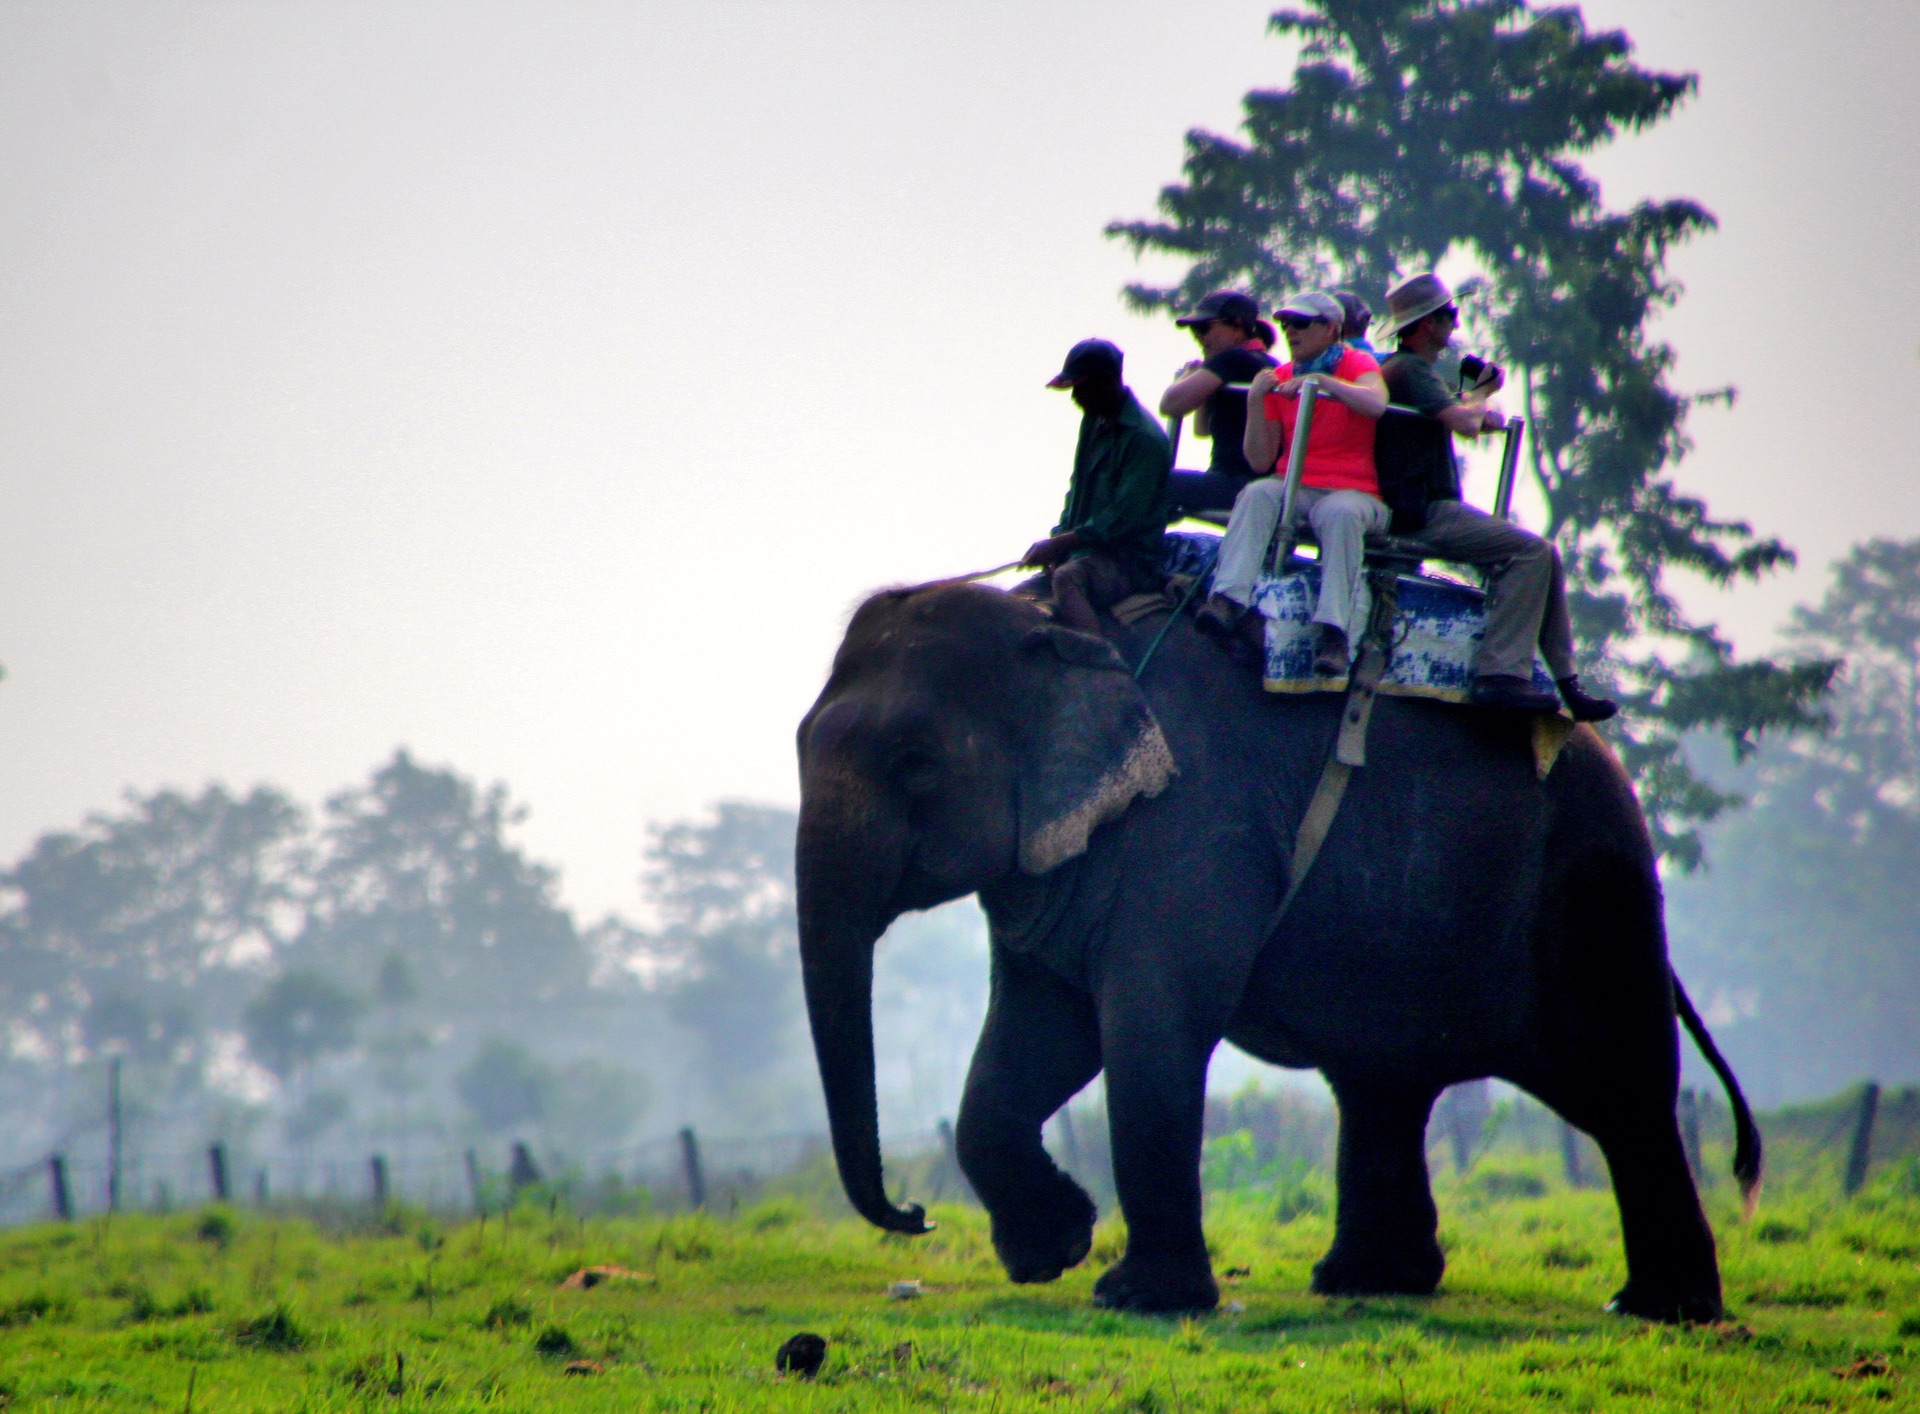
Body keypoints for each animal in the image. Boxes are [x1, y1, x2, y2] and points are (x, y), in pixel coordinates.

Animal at [791, 576, 1758, 1321]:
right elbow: (1035, 1037)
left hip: (1591, 888)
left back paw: (1662, 1309)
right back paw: (1370, 1286)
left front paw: (1135, 1299)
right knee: (1382, 1085)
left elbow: (1150, 1031)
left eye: (916, 765)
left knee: (1621, 1090)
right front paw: (1052, 1253)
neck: (1048, 620)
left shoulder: (1190, 828)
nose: (916, 1213)